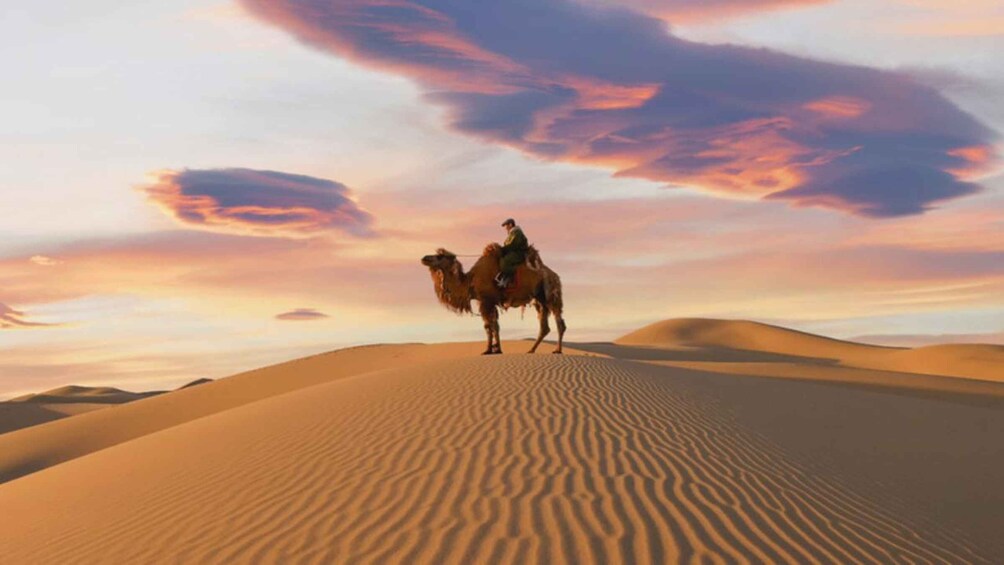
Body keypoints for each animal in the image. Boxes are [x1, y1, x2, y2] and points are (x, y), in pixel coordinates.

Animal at [421, 244, 566, 355]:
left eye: (440, 256)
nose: (424, 258)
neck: (470, 281)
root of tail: (555, 276)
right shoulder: (487, 302)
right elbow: (494, 325)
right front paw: (496, 349)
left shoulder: (487, 301)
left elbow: (489, 326)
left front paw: (489, 350)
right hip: (539, 299)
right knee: (544, 326)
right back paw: (531, 350)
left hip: (551, 293)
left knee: (559, 322)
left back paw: (557, 350)